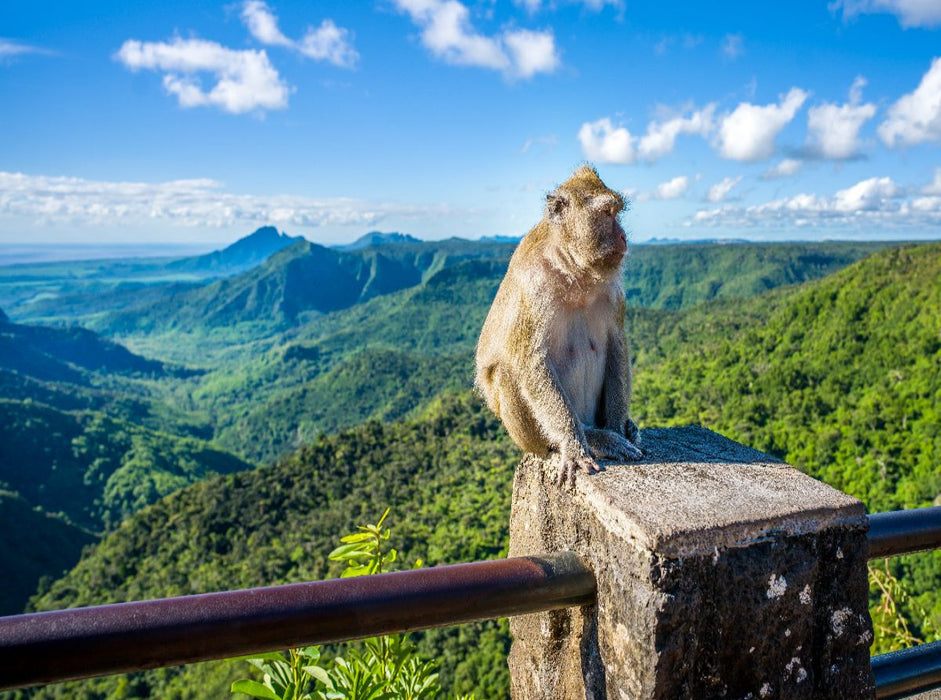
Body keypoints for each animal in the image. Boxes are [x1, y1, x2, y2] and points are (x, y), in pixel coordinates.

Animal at [475, 165, 642, 486]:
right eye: (607, 214)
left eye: (617, 212)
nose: (624, 236)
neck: (574, 271)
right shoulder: (534, 288)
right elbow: (530, 362)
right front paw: (574, 447)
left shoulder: (614, 293)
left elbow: (617, 346)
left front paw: (617, 428)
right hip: (530, 438)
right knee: (505, 372)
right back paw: (587, 438)